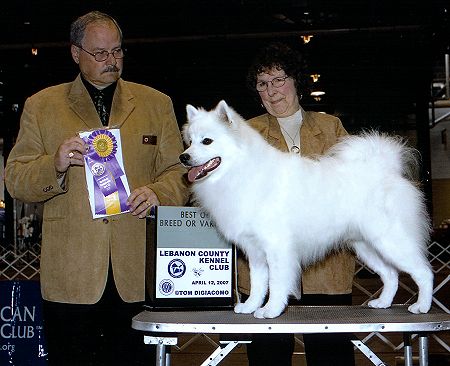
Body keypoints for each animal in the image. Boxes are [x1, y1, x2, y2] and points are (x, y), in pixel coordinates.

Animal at [179, 99, 432, 318]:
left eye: (207, 141)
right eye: (190, 142)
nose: (184, 157)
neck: (241, 170)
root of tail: (386, 170)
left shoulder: (277, 248)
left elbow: (276, 283)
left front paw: (271, 310)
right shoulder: (255, 251)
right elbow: (258, 283)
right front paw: (251, 306)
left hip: (392, 241)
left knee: (423, 272)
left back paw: (422, 306)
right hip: (366, 246)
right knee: (390, 275)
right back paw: (383, 303)